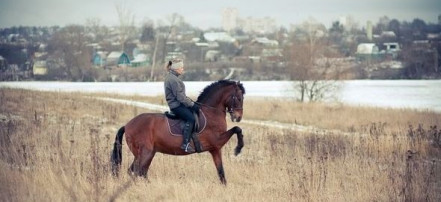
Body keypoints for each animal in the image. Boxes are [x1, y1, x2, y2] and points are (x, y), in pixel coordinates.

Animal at [110, 79, 246, 184]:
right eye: (239, 98)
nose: (238, 117)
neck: (211, 112)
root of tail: (127, 125)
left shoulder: (215, 149)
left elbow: (221, 172)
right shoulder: (217, 142)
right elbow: (237, 129)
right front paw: (238, 149)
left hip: (148, 153)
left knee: (138, 171)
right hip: (145, 152)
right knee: (138, 171)